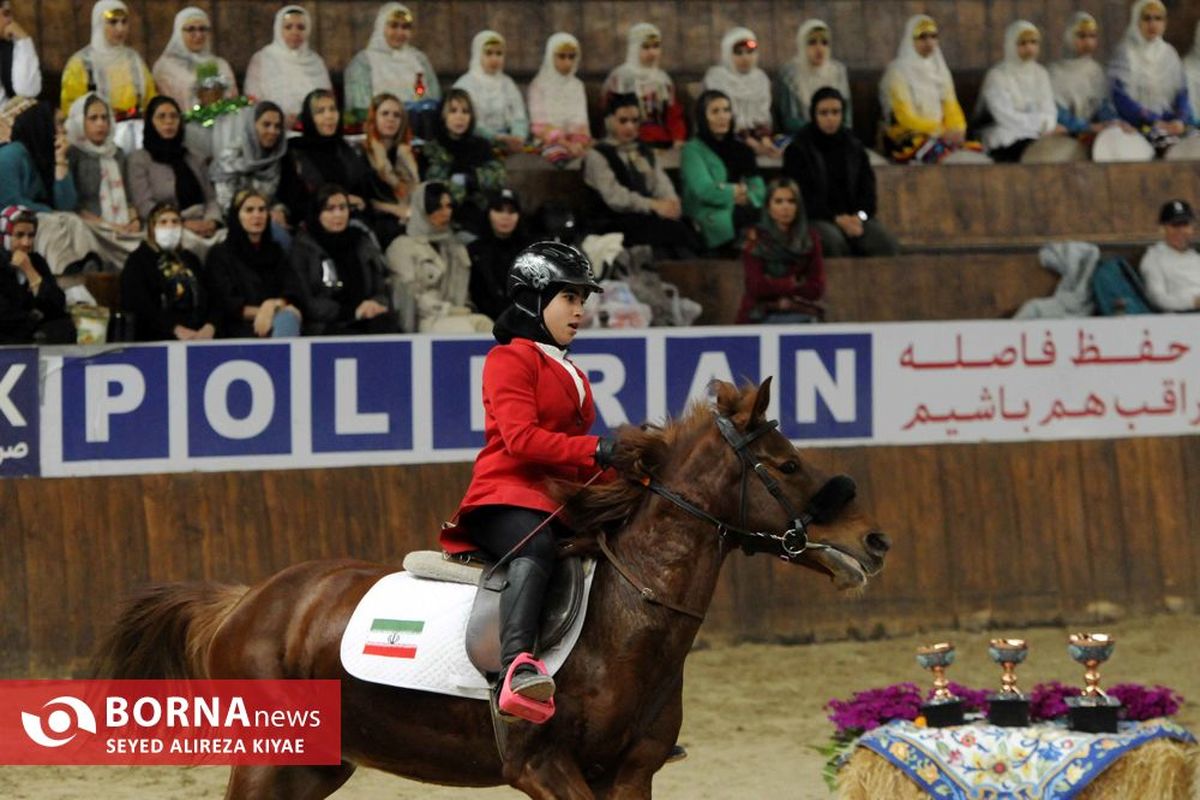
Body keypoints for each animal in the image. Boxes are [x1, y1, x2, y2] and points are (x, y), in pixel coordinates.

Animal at [93, 379, 892, 796]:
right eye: (786, 465)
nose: (874, 542)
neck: (625, 625)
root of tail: (248, 600)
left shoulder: (630, 774)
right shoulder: (541, 767)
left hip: (317, 766)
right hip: (269, 762)